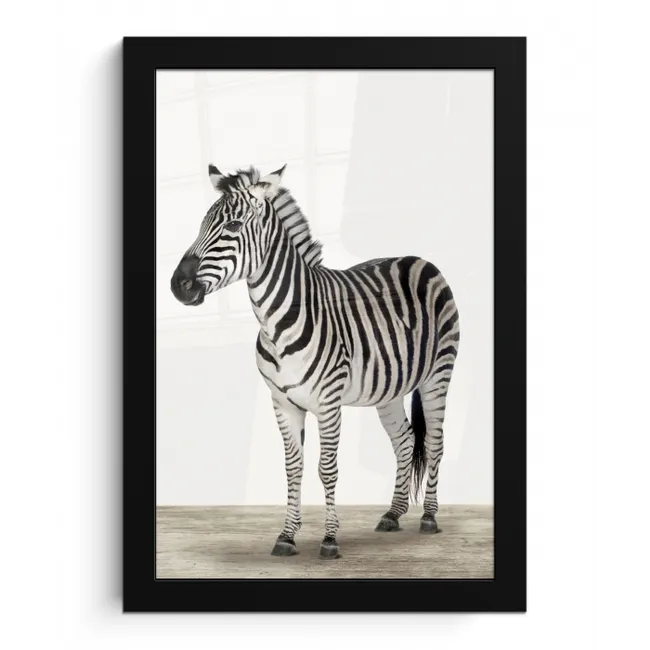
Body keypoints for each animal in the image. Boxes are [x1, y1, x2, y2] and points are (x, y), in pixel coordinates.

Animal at [170, 164, 460, 559]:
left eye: (232, 226)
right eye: (202, 224)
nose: (177, 285)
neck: (277, 322)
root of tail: (420, 259)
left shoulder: (328, 401)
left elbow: (327, 468)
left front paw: (330, 539)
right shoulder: (282, 402)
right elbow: (293, 468)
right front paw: (286, 536)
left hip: (438, 374)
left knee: (434, 442)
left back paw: (429, 517)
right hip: (389, 387)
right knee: (403, 440)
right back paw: (393, 513)